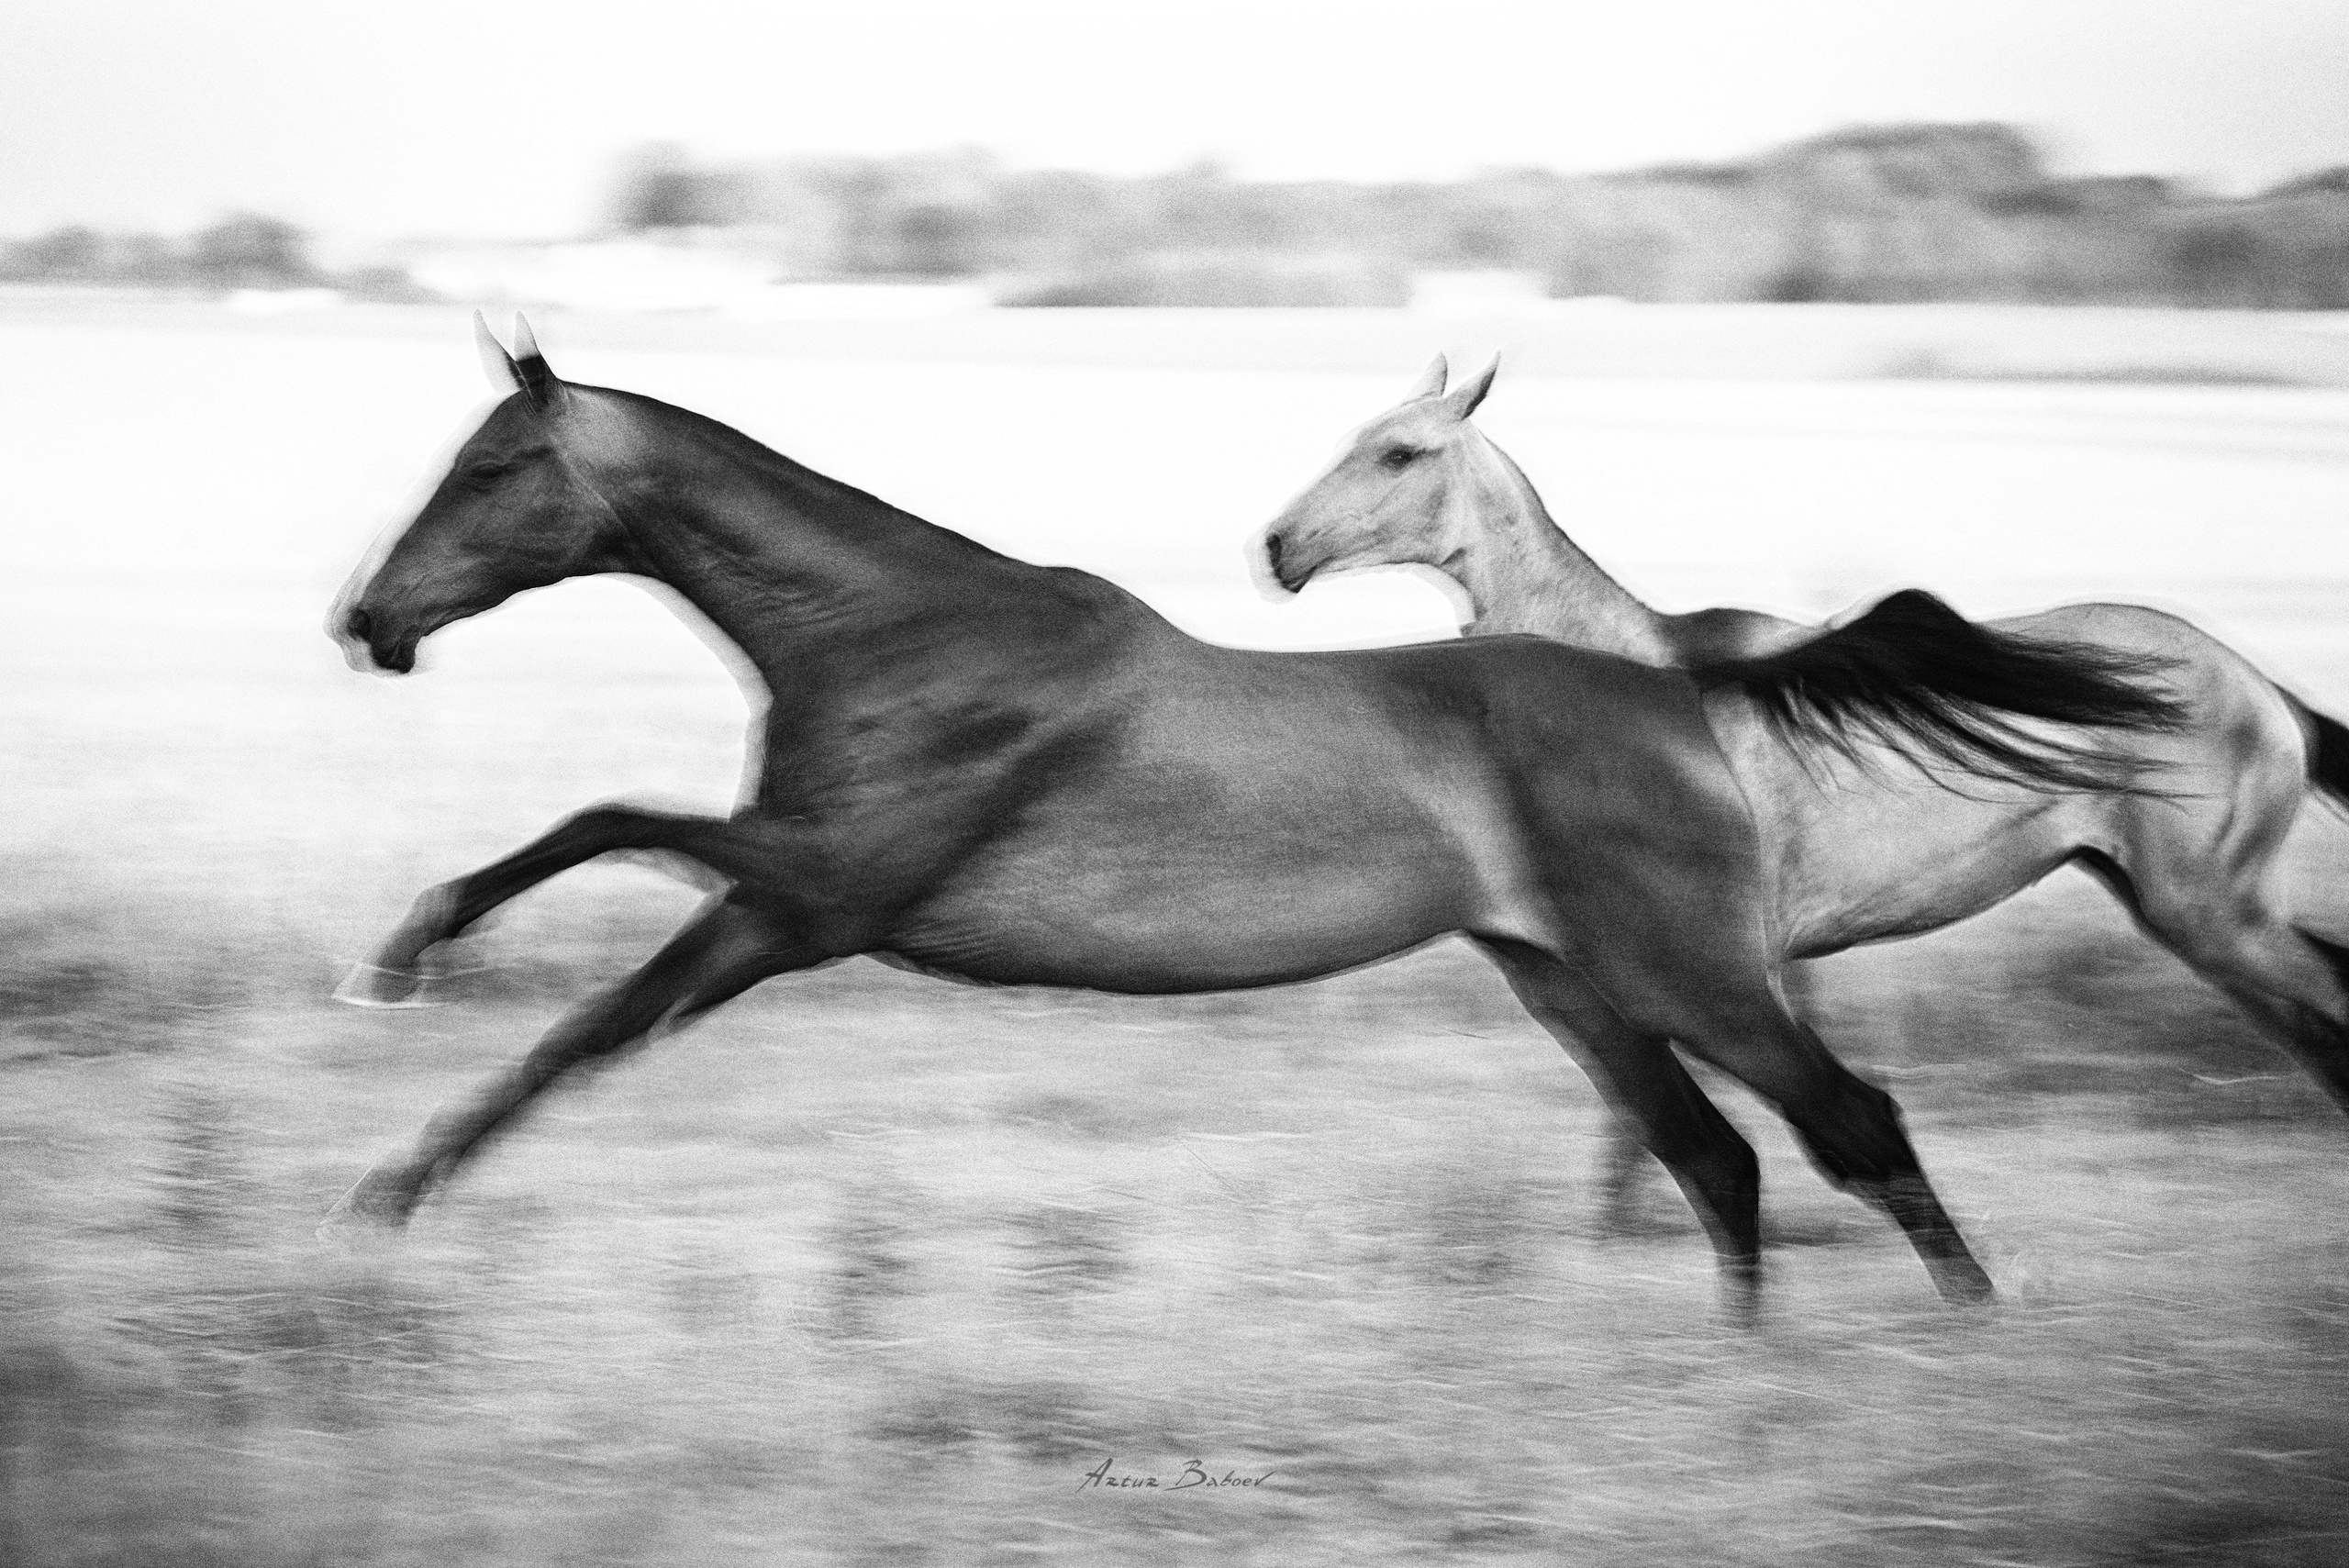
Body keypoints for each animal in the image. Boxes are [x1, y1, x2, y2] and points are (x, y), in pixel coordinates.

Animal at [321, 320, 2169, 1312]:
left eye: (490, 469)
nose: (369, 623)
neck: (904, 631)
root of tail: (1681, 688)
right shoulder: (776, 908)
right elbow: (583, 1026)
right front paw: (383, 1189)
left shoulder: (827, 889)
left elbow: (594, 833)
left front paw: (400, 968)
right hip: (1571, 985)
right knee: (1714, 1155)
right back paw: (1741, 1364)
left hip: (1691, 973)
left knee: (1848, 1122)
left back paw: (1967, 1336)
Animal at [1259, 356, 2349, 1215]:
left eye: (1399, 453)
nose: (1276, 546)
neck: (1634, 671)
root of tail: (2261, 687)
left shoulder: (1719, 956)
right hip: (2186, 916)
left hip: (2213, 913)